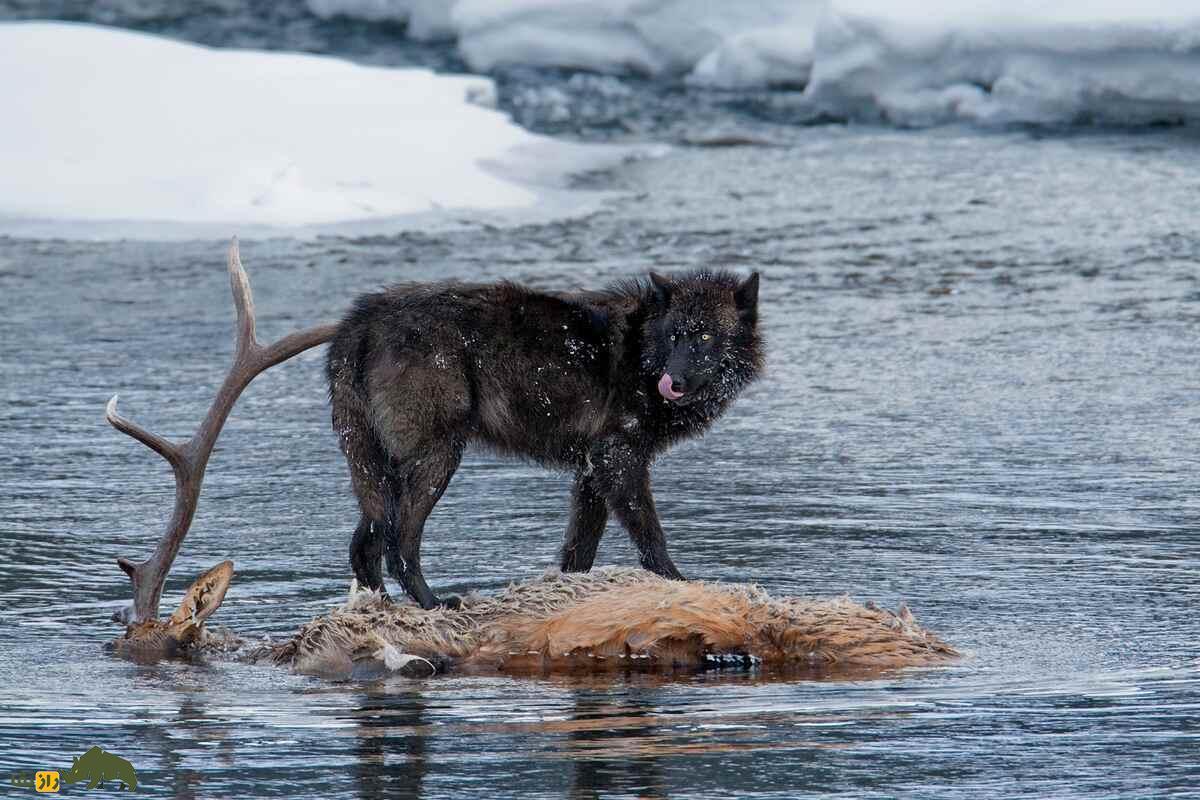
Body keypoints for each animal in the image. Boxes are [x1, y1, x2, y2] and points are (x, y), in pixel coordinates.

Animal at [326, 268, 758, 606]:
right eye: (674, 336)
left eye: (705, 338)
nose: (674, 382)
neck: (643, 349)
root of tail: (360, 320)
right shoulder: (619, 458)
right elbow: (651, 536)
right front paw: (680, 584)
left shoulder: (593, 470)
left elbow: (579, 549)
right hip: (436, 459)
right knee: (399, 544)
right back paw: (432, 603)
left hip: (381, 470)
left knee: (364, 544)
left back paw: (380, 607)